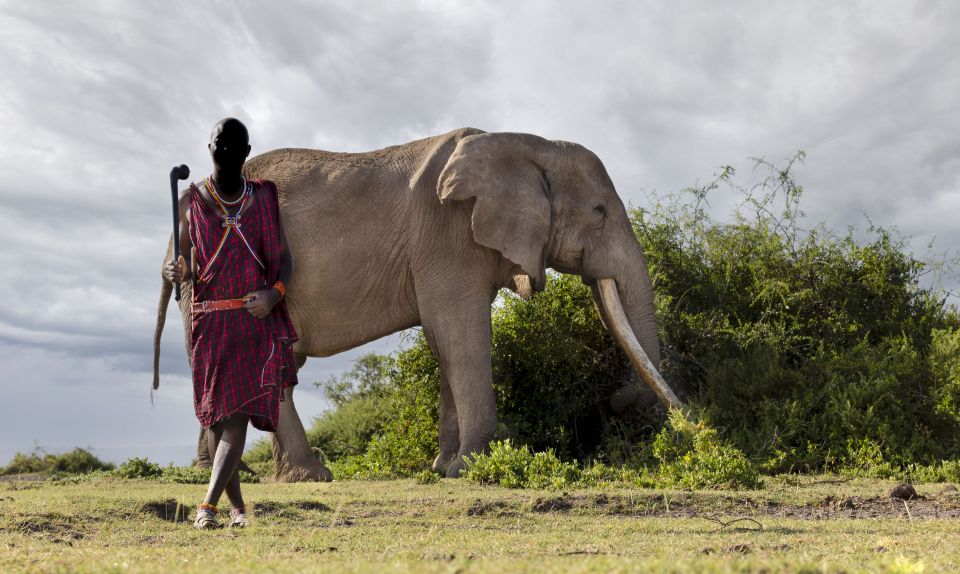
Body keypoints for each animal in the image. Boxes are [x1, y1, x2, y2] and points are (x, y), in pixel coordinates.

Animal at [154, 127, 684, 482]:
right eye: (600, 212)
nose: (617, 403)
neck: (529, 146)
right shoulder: (447, 234)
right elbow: (461, 335)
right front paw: (473, 468)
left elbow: (446, 343)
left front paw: (445, 467)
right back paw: (303, 476)